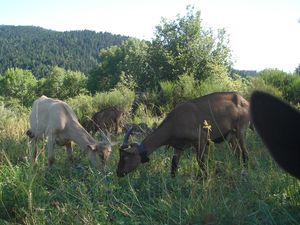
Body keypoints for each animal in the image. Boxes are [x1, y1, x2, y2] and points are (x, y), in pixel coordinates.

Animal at [116, 91, 251, 178]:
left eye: (125, 157)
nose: (118, 173)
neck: (174, 123)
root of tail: (245, 101)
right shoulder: (178, 147)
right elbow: (173, 166)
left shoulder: (201, 140)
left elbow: (201, 163)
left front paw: (204, 179)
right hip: (231, 136)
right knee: (238, 153)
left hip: (241, 130)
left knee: (245, 153)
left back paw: (245, 171)